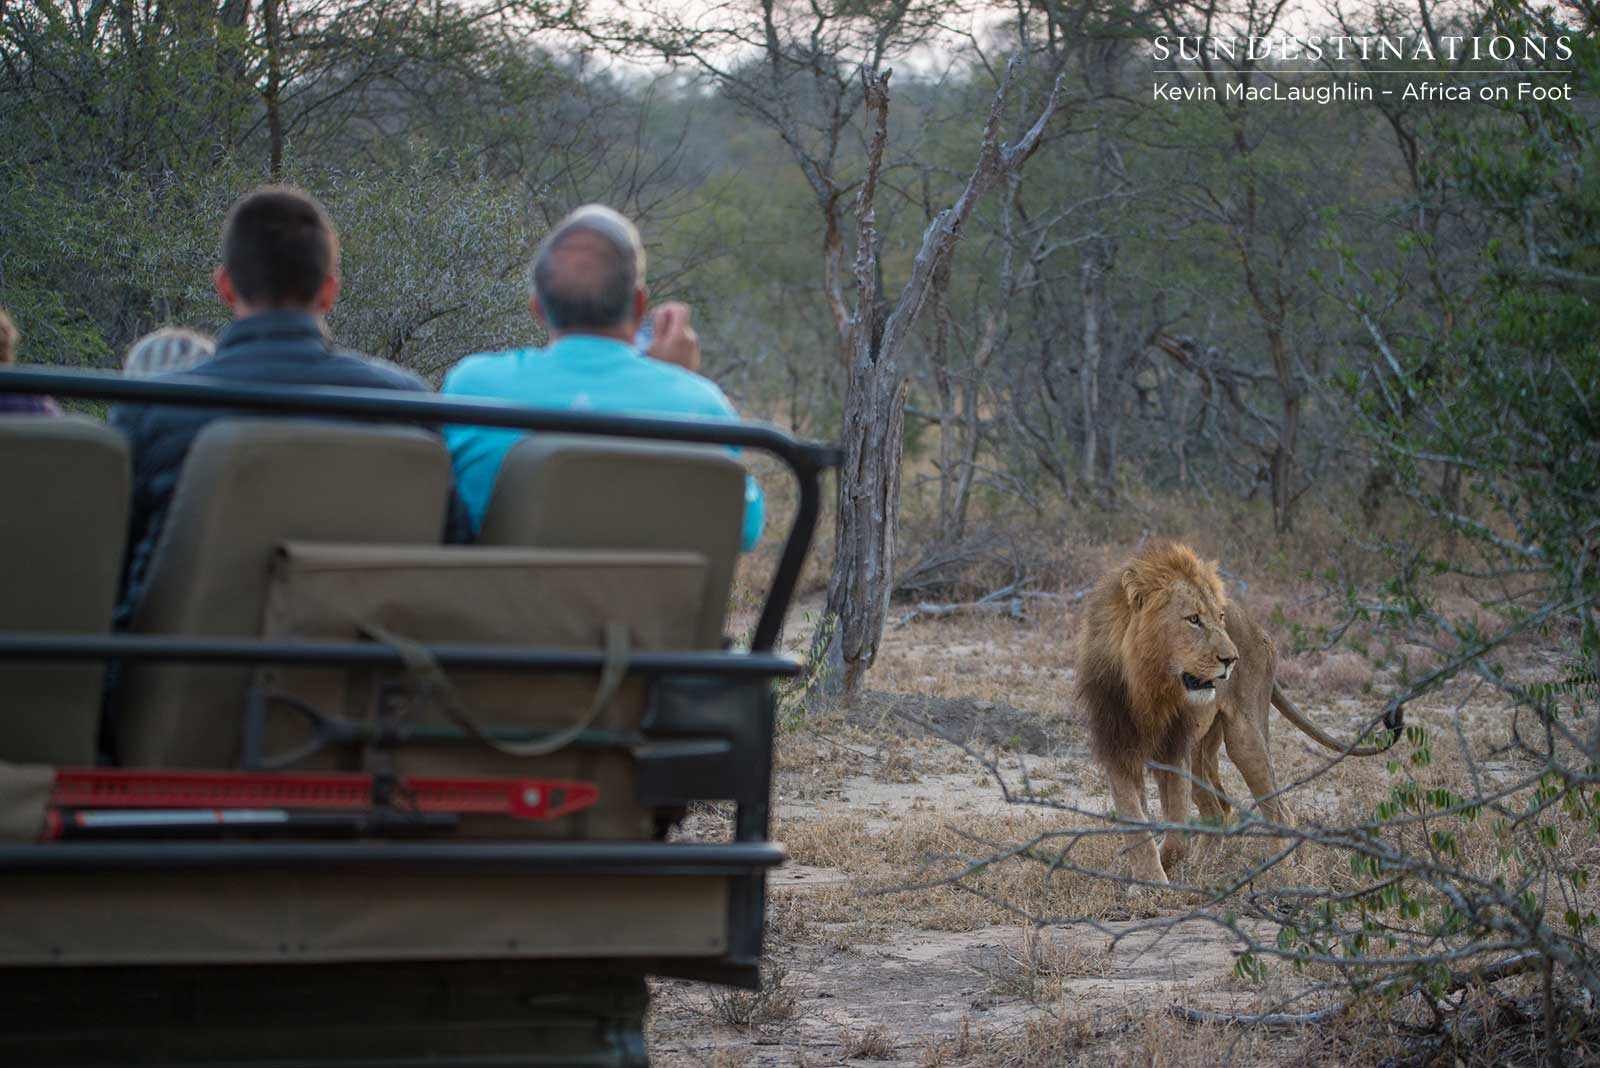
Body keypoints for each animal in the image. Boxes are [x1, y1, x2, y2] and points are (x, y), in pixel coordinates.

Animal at [1074, 540, 1389, 885]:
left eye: (1219, 617)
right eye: (1193, 619)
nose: (1231, 659)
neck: (1148, 685)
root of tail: (1257, 626)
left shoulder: (1174, 751)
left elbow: (1176, 832)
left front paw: (1162, 870)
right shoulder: (1118, 746)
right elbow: (1135, 822)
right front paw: (1149, 879)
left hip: (1244, 738)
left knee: (1279, 812)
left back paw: (1284, 876)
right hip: (1201, 749)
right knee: (1217, 811)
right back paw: (1203, 867)